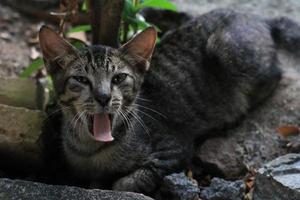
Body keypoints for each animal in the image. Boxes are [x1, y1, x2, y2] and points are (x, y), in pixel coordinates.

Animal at [38, 8, 300, 195]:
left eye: (119, 78)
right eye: (81, 79)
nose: (103, 97)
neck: (90, 149)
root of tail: (260, 17)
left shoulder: (175, 148)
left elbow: (130, 181)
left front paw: (113, 183)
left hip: (227, 49)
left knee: (276, 74)